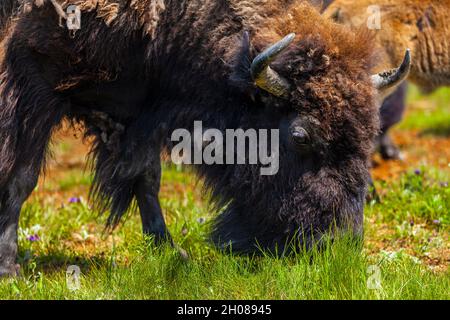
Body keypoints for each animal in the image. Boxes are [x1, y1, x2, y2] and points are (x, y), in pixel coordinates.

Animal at [0, 0, 410, 276]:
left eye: (369, 133)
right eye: (300, 135)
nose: (338, 245)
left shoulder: (141, 110)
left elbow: (147, 179)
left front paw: (170, 251)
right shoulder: (33, 82)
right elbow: (22, 177)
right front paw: (10, 268)